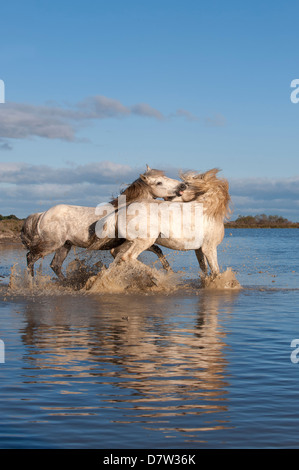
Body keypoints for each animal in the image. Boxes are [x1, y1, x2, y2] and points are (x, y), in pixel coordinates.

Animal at [21, 166, 185, 280]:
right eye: (159, 182)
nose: (182, 186)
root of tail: (42, 214)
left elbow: (158, 251)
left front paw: (170, 272)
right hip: (51, 244)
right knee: (30, 257)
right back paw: (31, 284)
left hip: (64, 246)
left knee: (55, 265)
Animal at [91, 169, 232, 280]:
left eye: (186, 184)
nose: (181, 186)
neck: (208, 210)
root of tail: (120, 210)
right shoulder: (209, 248)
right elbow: (216, 272)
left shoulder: (199, 249)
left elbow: (205, 269)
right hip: (145, 241)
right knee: (128, 257)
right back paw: (155, 274)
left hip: (131, 241)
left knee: (117, 254)